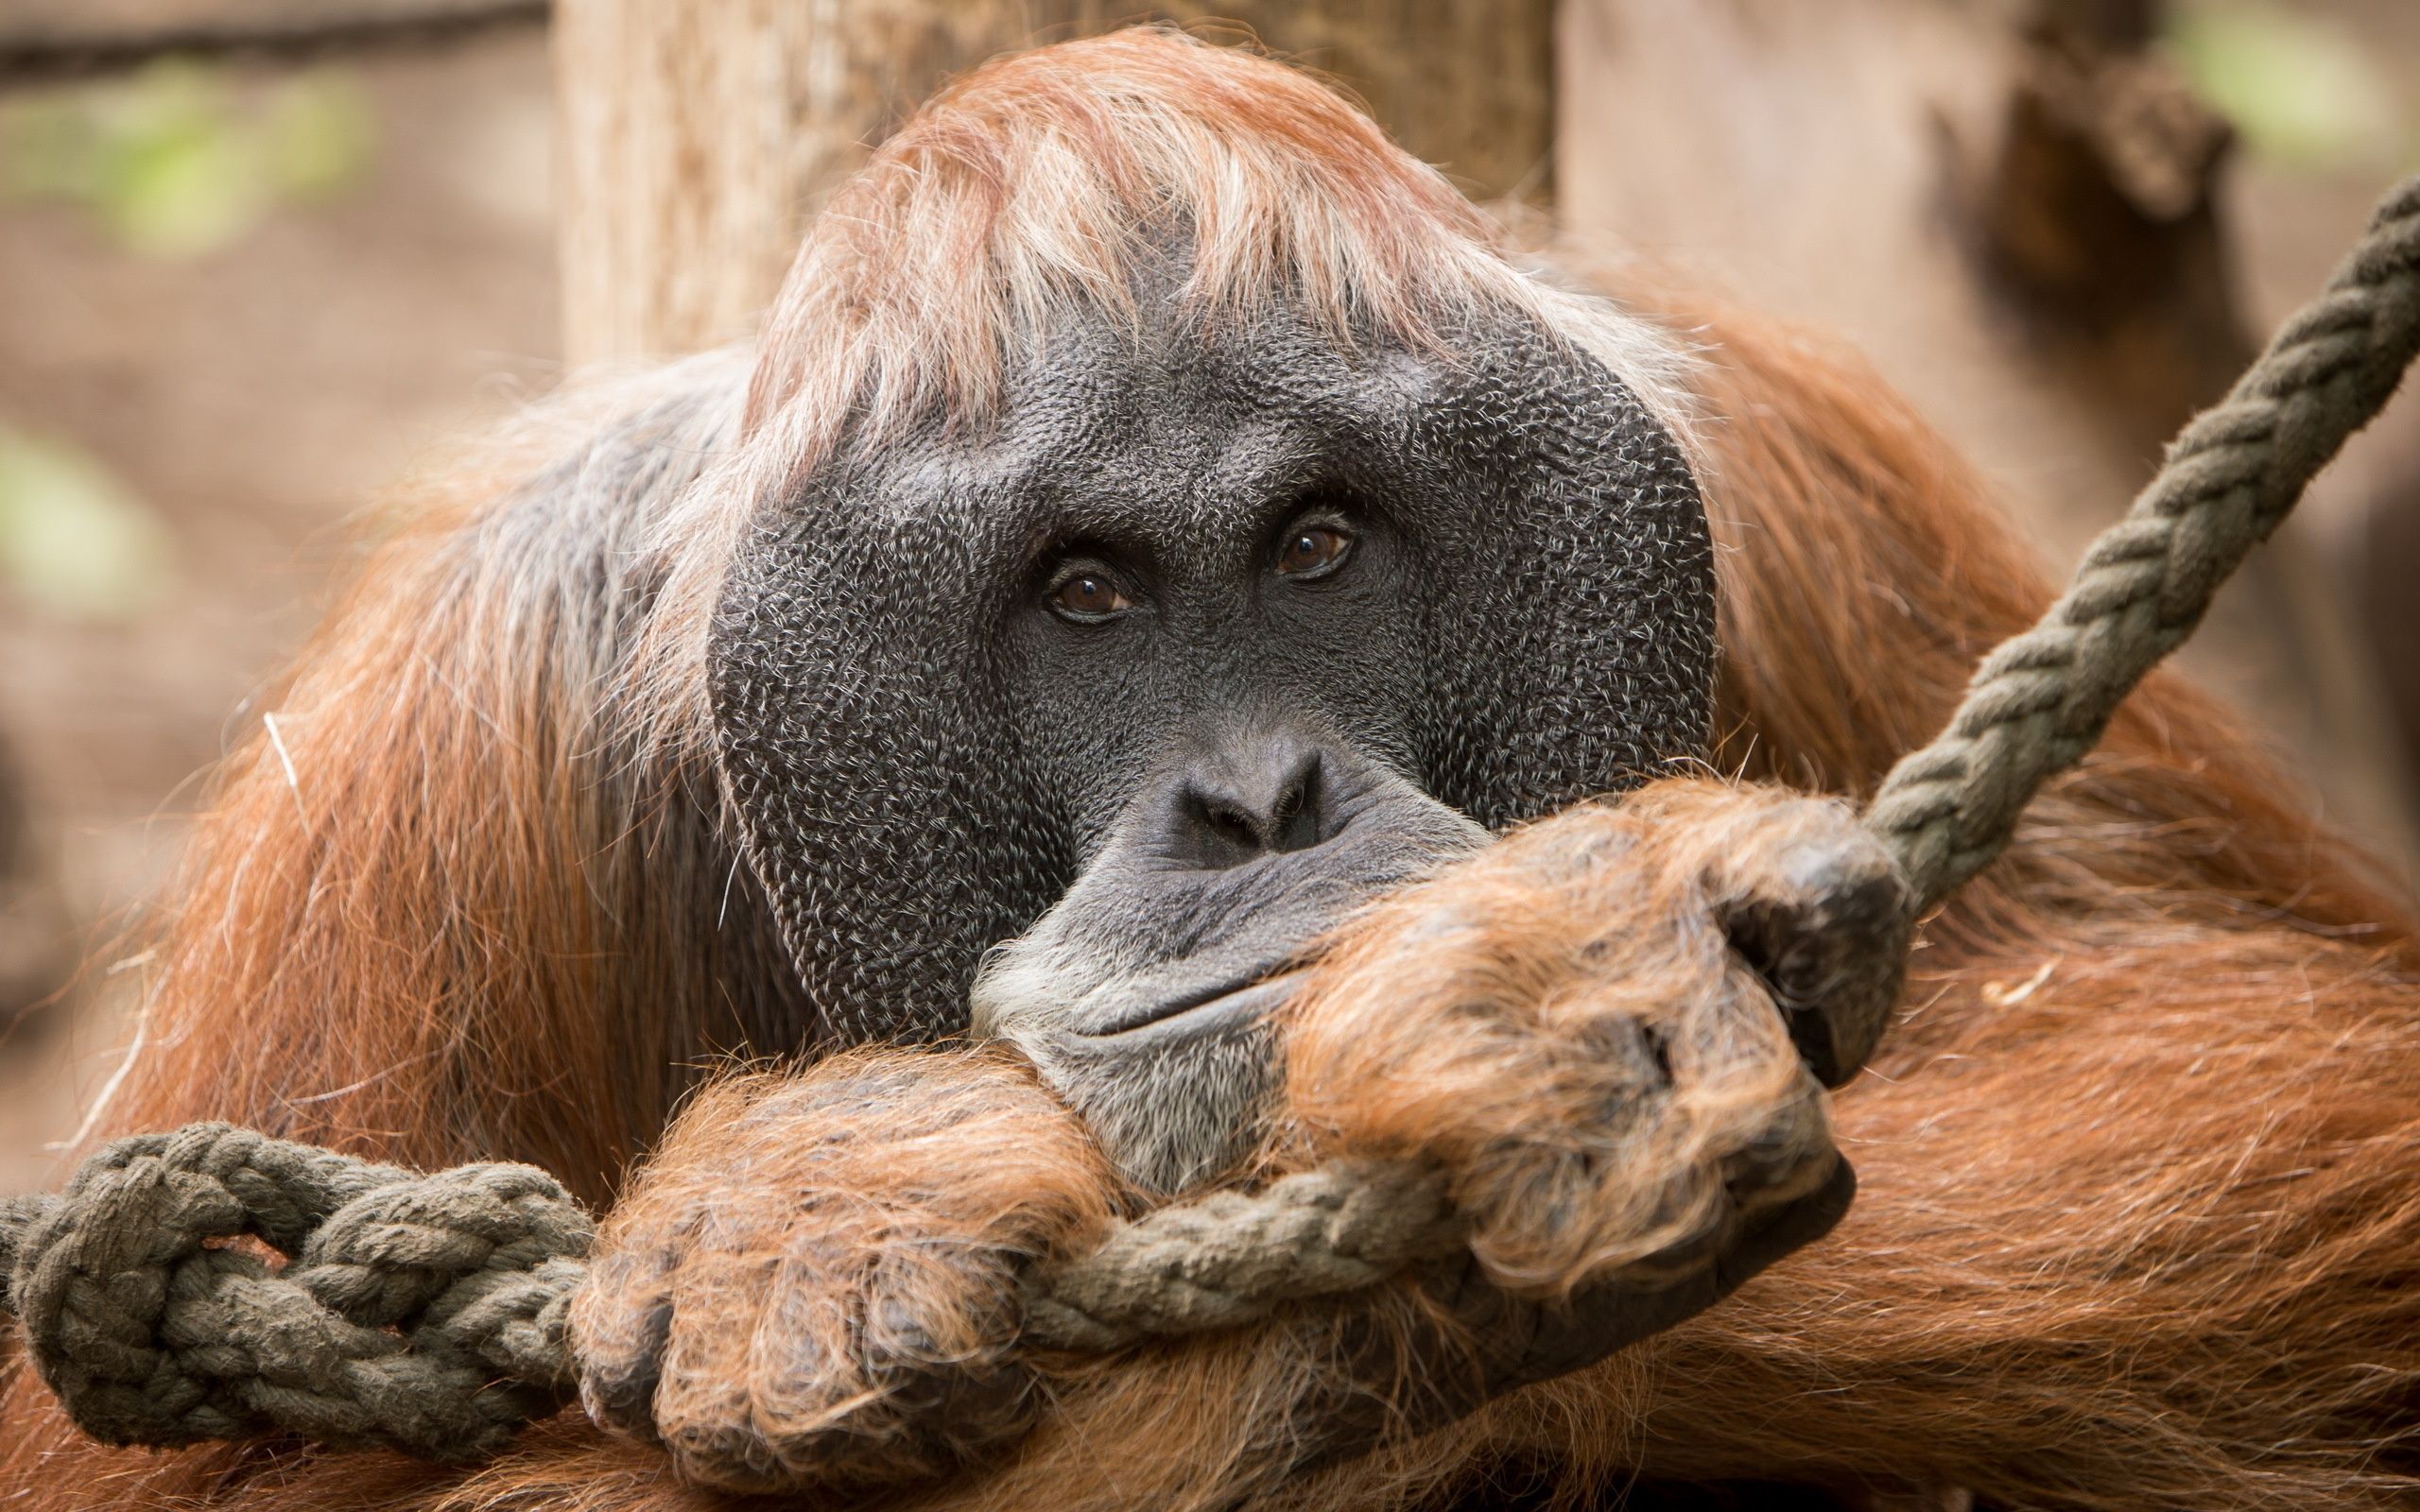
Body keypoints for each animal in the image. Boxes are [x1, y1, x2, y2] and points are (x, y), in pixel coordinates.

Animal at [7, 26, 2420, 1512]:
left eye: (1314, 544)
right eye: (1084, 593)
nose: (1257, 800)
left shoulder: (1808, 472)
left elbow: (2300, 1042)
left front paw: (1532, 1000)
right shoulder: (445, 736)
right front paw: (838, 1185)